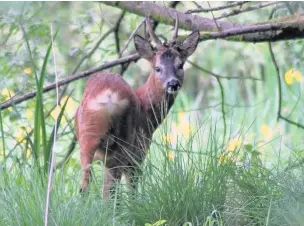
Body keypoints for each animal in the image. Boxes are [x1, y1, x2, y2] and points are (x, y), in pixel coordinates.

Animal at [75, 15, 201, 199]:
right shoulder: (139, 151)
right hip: (122, 143)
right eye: (157, 68)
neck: (147, 110)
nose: (173, 83)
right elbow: (132, 189)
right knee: (110, 192)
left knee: (85, 185)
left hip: (87, 137)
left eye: (180, 65)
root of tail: (108, 96)